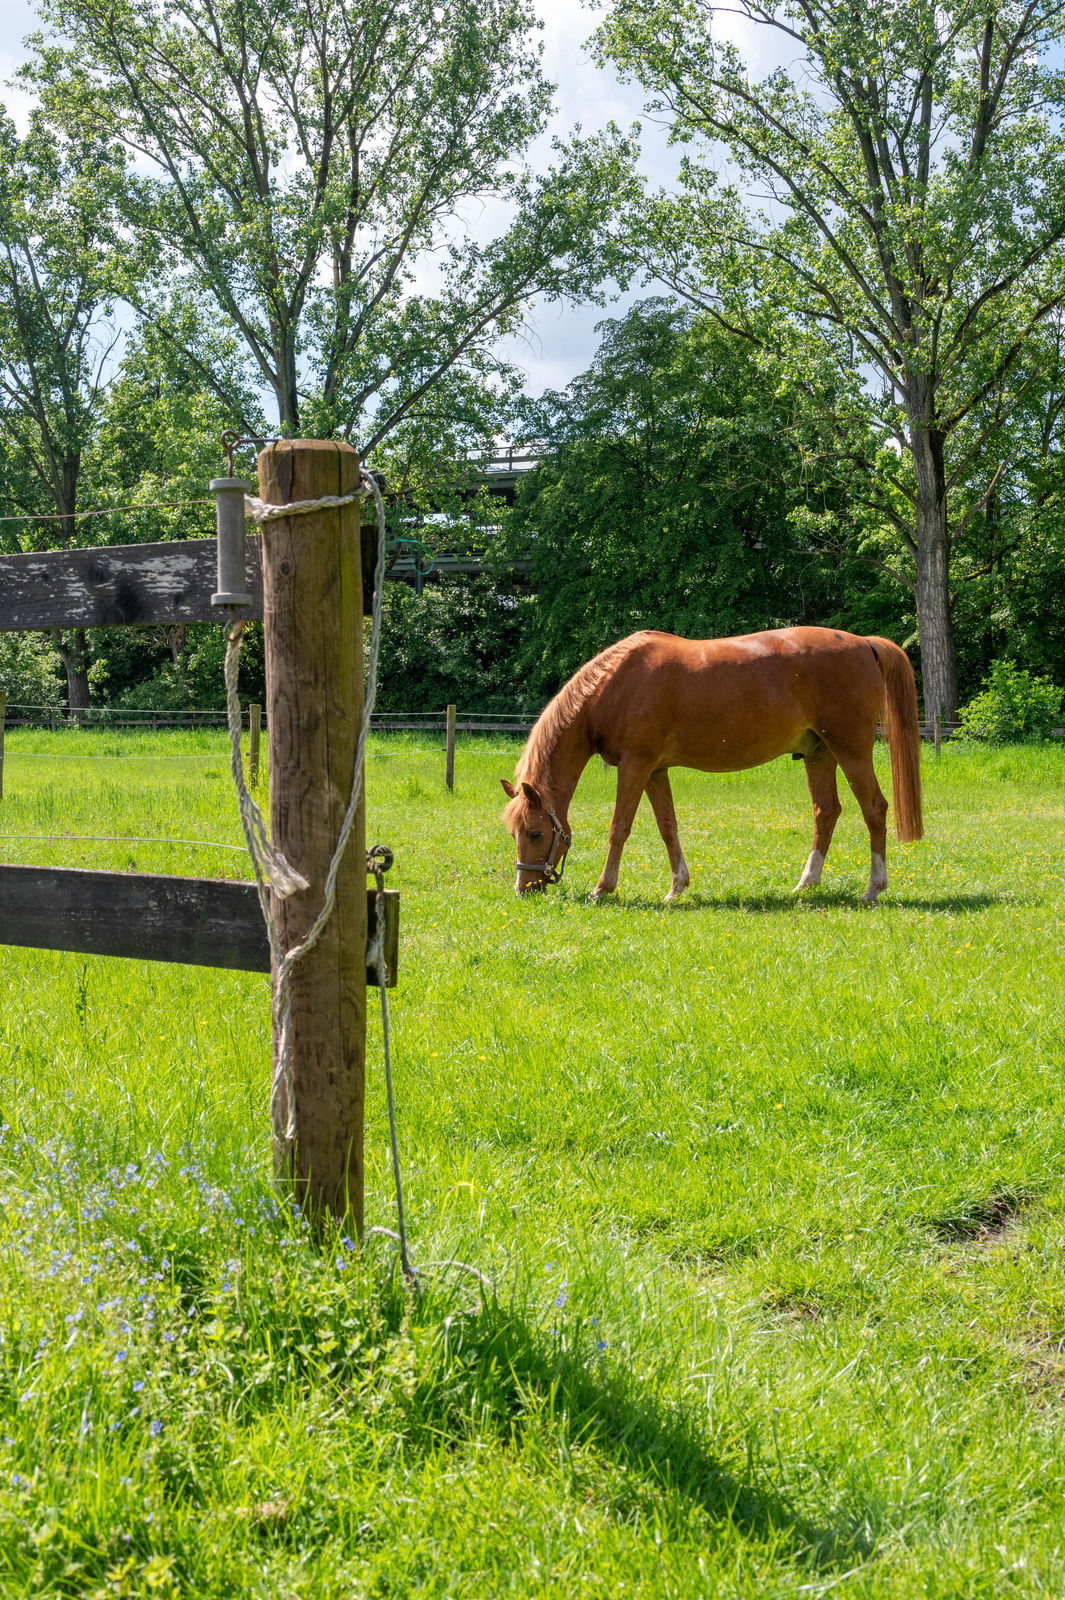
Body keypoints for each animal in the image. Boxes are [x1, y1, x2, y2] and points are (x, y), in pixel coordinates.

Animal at [501, 626, 923, 904]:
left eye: (535, 833)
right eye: (514, 833)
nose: (525, 890)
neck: (613, 686)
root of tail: (864, 644)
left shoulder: (635, 766)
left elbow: (619, 828)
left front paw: (603, 888)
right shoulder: (655, 771)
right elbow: (667, 827)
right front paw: (677, 887)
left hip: (851, 753)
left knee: (874, 809)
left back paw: (873, 887)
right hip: (819, 755)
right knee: (826, 812)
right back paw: (806, 883)